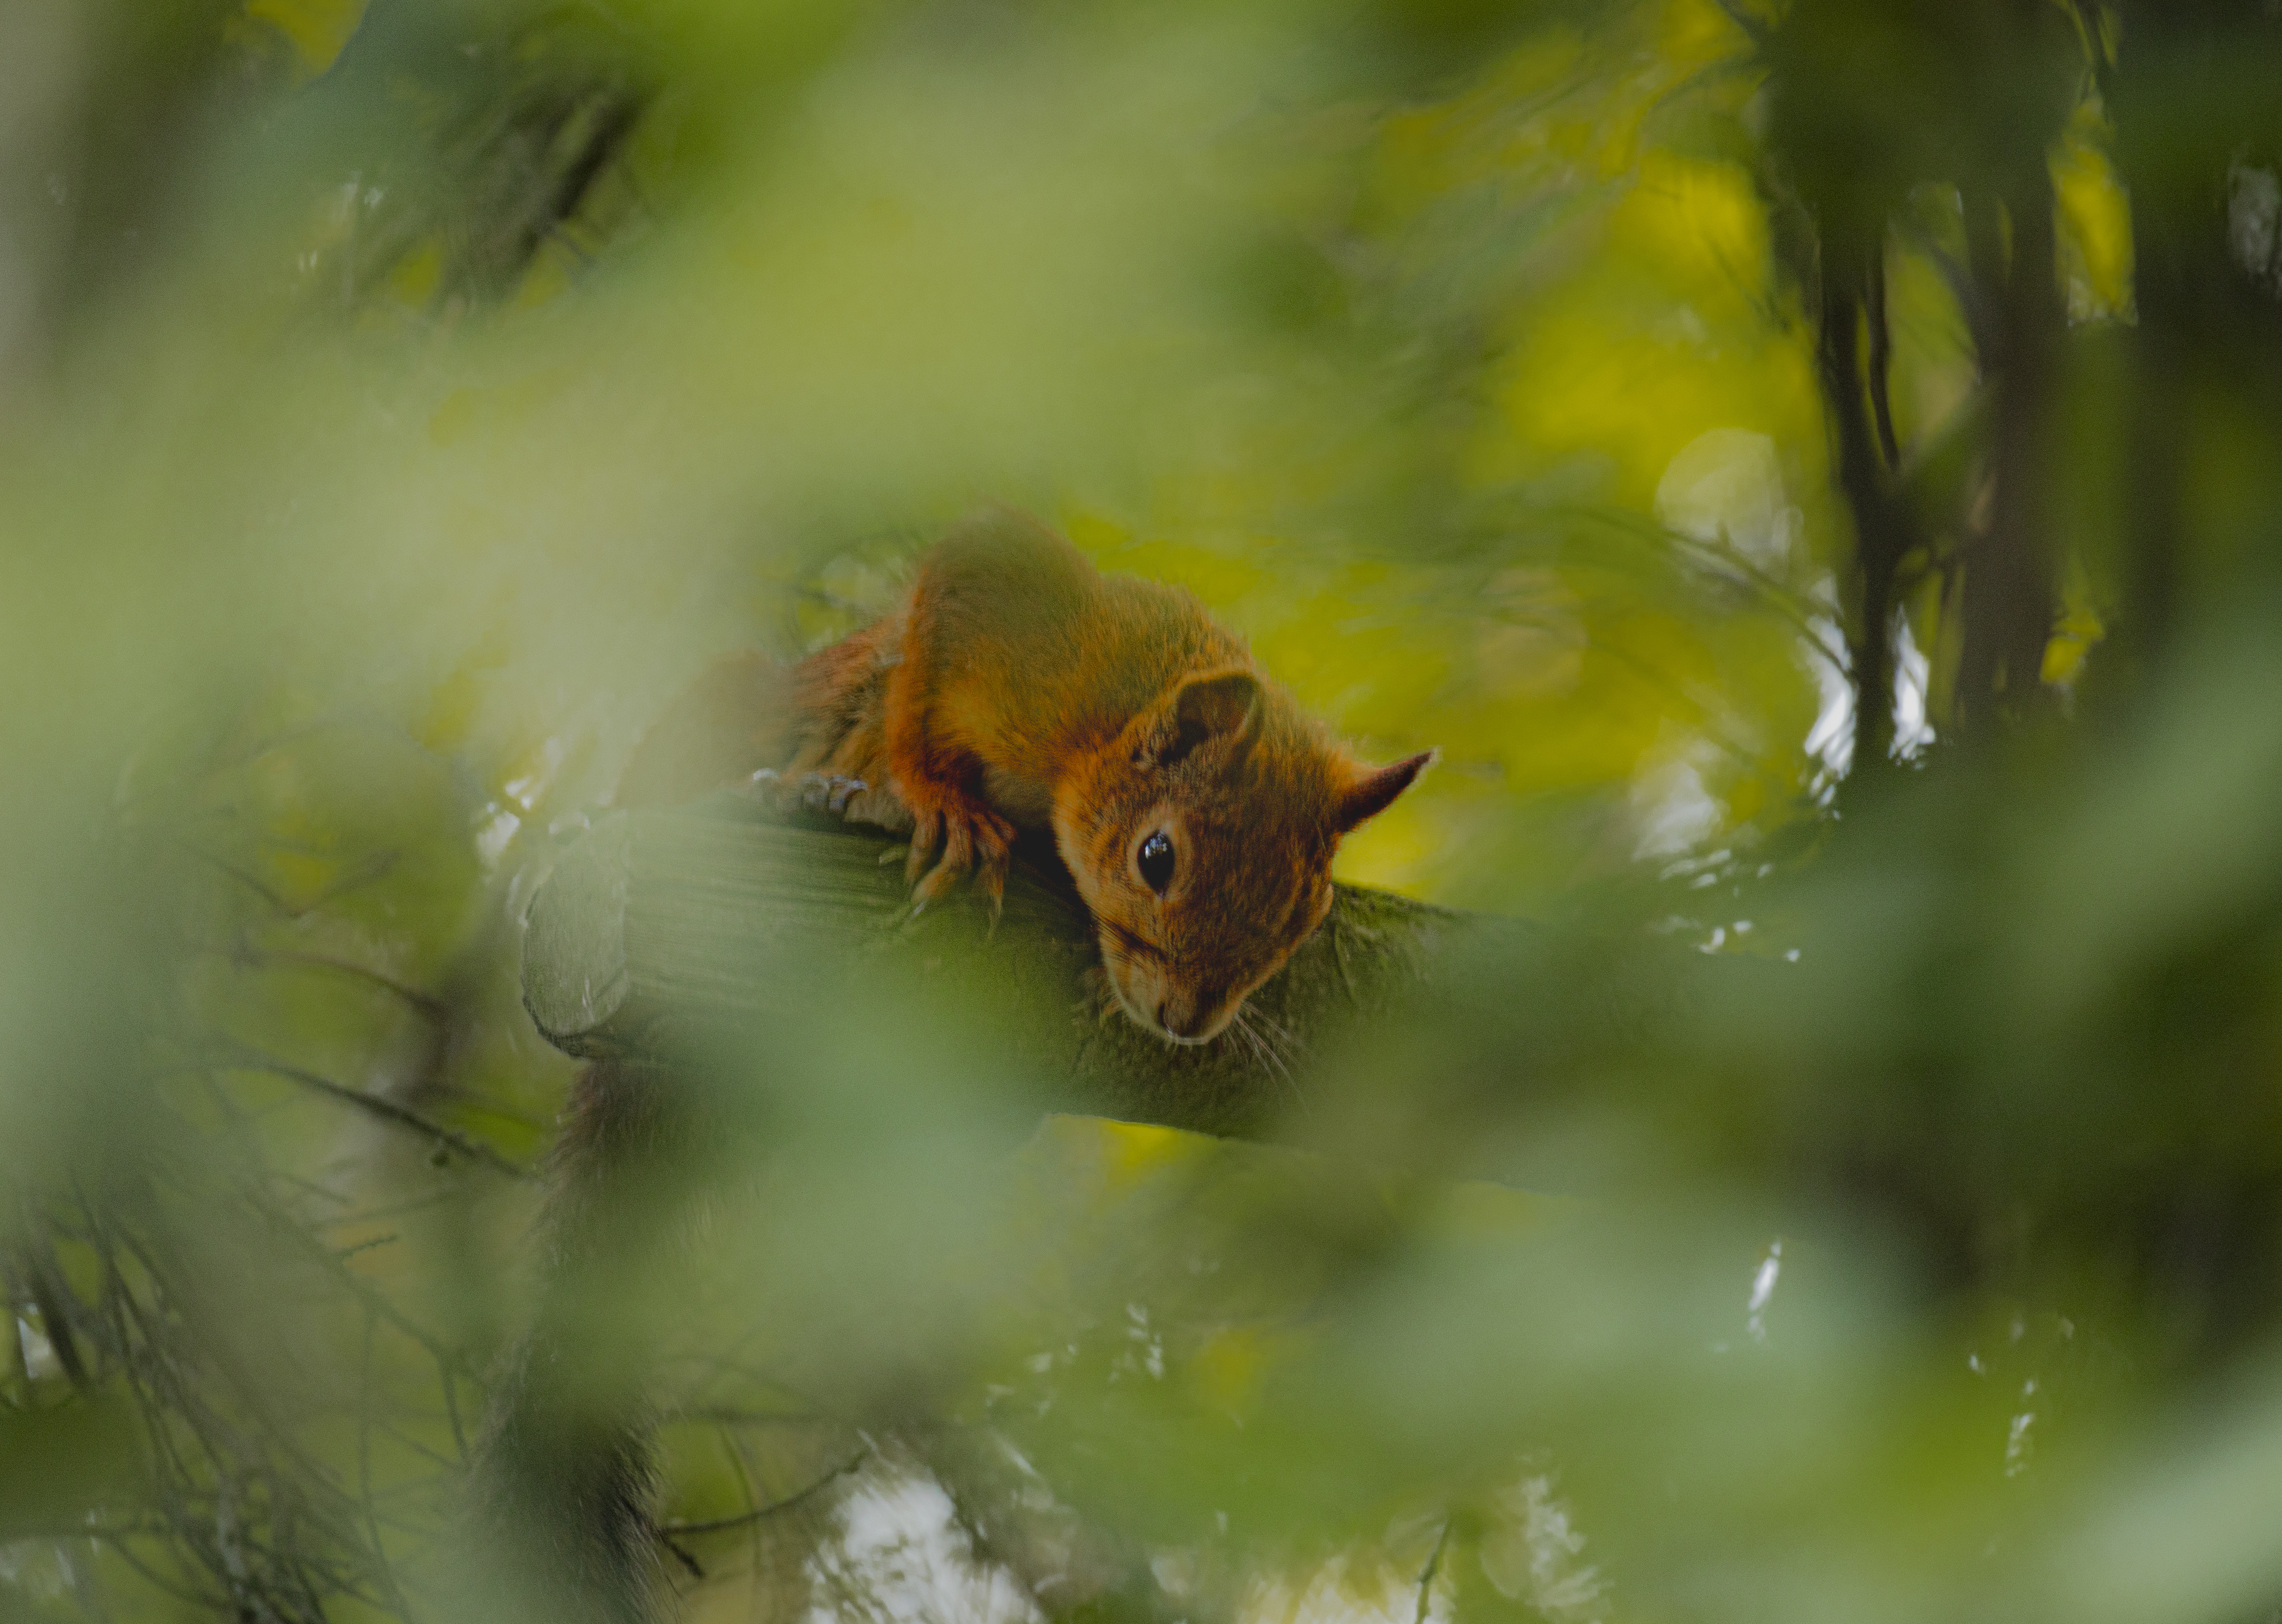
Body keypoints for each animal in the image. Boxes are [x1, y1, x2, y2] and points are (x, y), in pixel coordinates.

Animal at [621, 504, 1424, 1040]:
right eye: (1155, 857)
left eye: (1301, 917)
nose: (1186, 1021)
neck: (1094, 735)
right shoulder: (1017, 605)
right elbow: (916, 693)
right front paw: (942, 803)